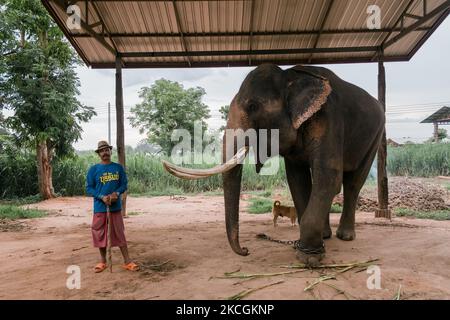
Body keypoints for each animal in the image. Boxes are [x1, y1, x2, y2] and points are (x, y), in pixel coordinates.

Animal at [163, 63, 384, 266]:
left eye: (253, 106)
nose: (246, 250)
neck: (290, 75)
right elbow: (298, 179)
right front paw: (310, 247)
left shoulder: (329, 117)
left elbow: (328, 176)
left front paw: (309, 258)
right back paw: (326, 236)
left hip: (376, 136)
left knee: (353, 183)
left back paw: (345, 237)